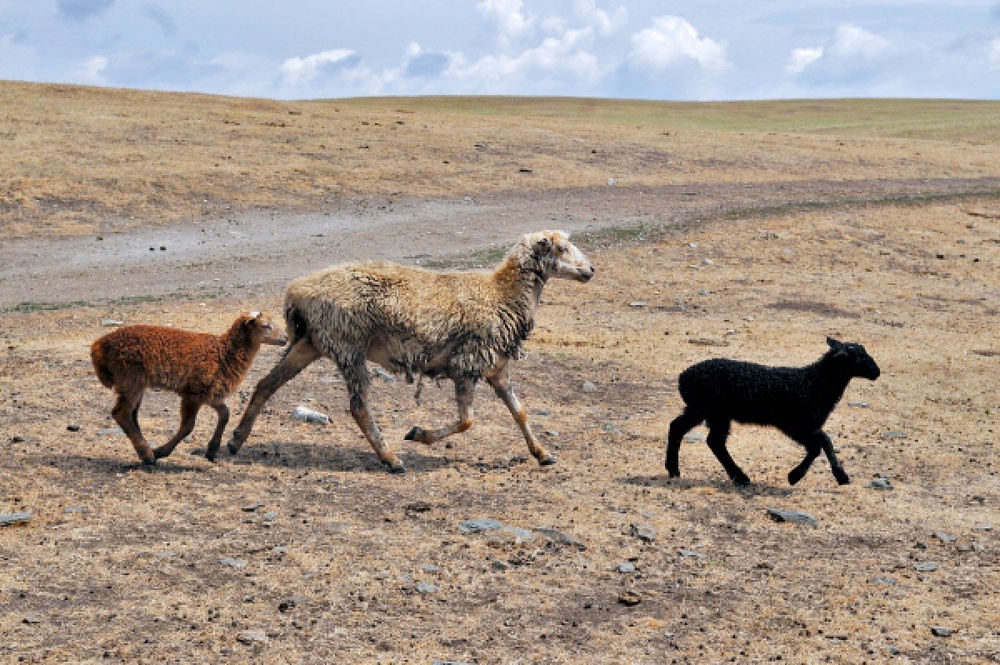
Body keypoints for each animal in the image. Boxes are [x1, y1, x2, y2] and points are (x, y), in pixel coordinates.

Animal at [91, 312, 286, 464]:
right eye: (266, 326)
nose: (285, 338)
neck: (223, 352)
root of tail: (98, 347)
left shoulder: (209, 393)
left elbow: (225, 414)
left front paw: (212, 450)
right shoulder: (193, 393)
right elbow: (188, 426)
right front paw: (161, 451)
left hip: (135, 383)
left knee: (131, 415)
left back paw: (144, 449)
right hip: (130, 378)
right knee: (121, 413)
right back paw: (147, 454)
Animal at [219, 228, 592, 472]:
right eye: (561, 248)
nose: (590, 270)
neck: (502, 293)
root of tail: (296, 291)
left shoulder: (496, 368)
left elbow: (520, 412)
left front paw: (543, 454)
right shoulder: (467, 363)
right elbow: (467, 421)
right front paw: (418, 434)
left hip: (311, 343)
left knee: (265, 385)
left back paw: (236, 440)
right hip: (348, 345)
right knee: (358, 407)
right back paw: (391, 458)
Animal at [668, 338, 880, 488]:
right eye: (858, 356)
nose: (877, 372)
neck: (814, 382)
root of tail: (683, 377)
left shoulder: (808, 425)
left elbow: (824, 442)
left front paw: (841, 476)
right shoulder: (795, 425)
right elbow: (817, 446)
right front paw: (795, 476)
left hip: (709, 412)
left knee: (693, 433)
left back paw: (676, 471)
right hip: (709, 409)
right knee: (704, 437)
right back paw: (738, 477)